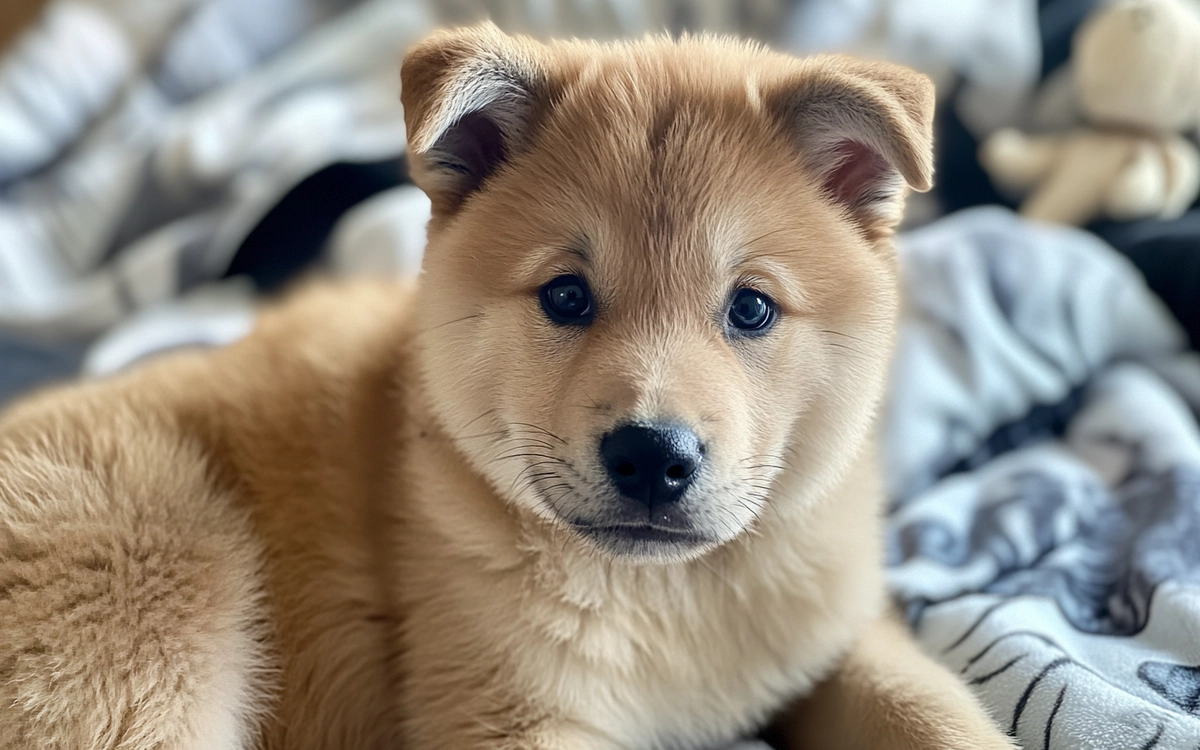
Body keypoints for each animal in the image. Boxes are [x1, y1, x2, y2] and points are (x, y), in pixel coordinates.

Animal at [0, 23, 1012, 748]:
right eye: (565, 296)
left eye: (752, 308)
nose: (652, 457)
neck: (669, 599)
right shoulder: (507, 712)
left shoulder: (840, 639)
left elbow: (930, 711)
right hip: (144, 613)